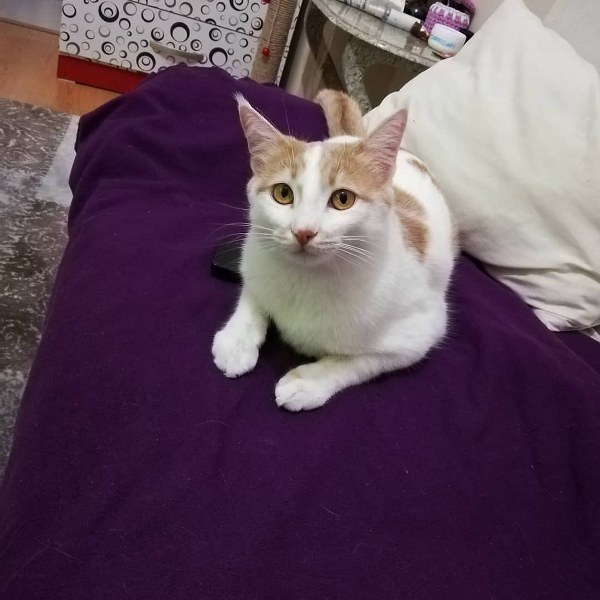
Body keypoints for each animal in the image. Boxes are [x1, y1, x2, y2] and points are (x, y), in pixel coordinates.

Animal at [212, 91, 456, 411]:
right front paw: (237, 341)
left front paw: (308, 381)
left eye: (343, 199)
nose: (303, 231)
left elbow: (356, 362)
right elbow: (253, 295)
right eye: (283, 193)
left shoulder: (421, 332)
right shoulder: (253, 255)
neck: (307, 279)